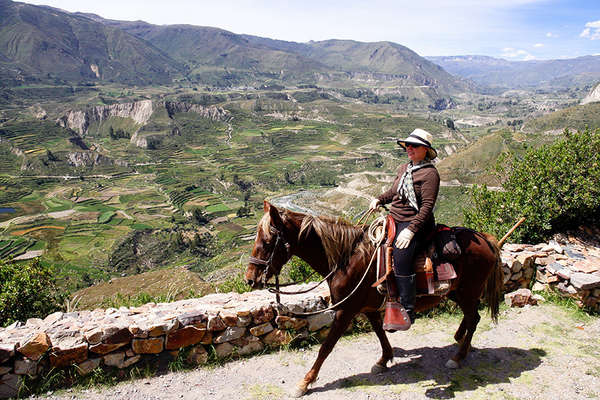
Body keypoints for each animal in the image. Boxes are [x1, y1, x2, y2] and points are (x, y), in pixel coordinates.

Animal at [244, 203, 502, 396]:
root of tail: (485, 239)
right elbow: (379, 333)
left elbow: (326, 347)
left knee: (474, 318)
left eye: (267, 242)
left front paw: (305, 382)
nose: (250, 279)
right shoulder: (367, 307)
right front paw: (384, 360)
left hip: (468, 291)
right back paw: (459, 339)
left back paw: (458, 356)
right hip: (457, 292)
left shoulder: (345, 311)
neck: (346, 259)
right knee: (470, 317)